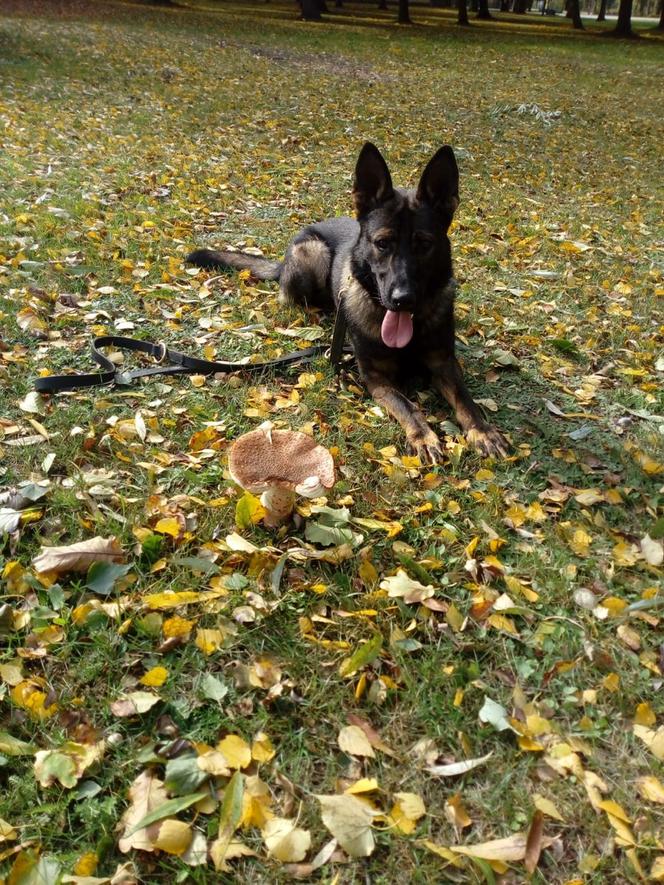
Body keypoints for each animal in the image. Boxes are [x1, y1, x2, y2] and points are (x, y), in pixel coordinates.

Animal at [187, 141, 508, 460]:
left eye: (425, 245)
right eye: (382, 243)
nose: (402, 300)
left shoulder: (445, 363)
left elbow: (465, 399)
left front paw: (483, 431)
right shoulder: (375, 377)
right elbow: (407, 405)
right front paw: (423, 436)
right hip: (313, 253)